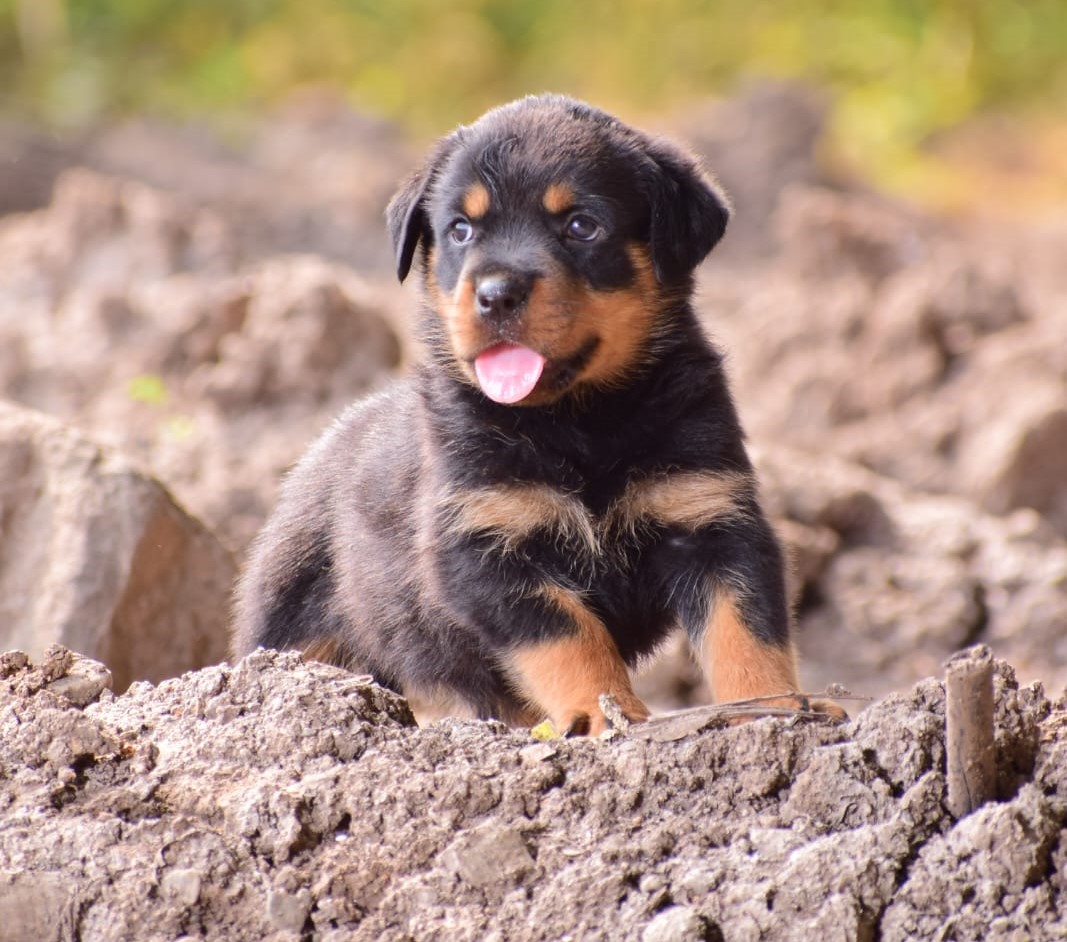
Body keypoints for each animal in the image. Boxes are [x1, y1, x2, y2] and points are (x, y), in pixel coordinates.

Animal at [233, 92, 810, 733]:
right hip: (298, 620)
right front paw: (603, 715)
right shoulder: (485, 544)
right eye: (460, 230)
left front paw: (772, 709)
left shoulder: (712, 514)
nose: (496, 294)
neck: (579, 421)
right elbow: (570, 637)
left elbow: (744, 628)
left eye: (582, 225)